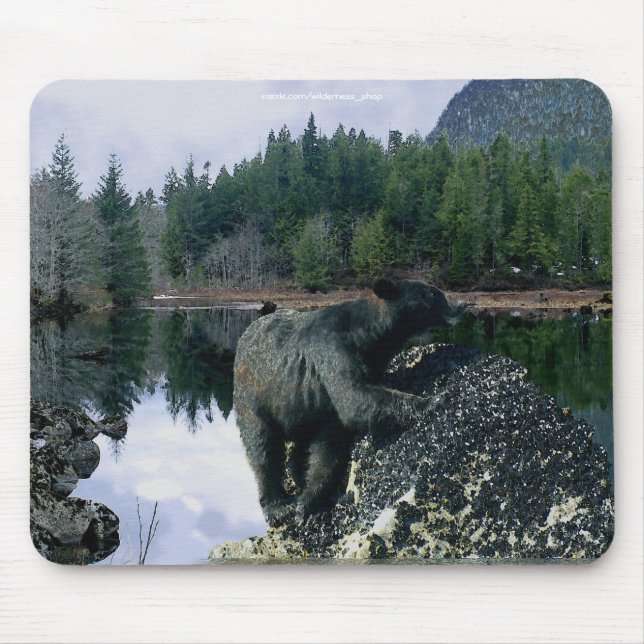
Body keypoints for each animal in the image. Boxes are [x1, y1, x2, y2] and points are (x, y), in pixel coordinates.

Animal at [233, 278, 462, 526]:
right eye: (431, 292)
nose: (460, 303)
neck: (367, 336)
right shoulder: (332, 351)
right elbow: (354, 399)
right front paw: (433, 400)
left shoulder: (327, 407)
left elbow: (329, 447)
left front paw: (310, 503)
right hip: (252, 397)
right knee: (262, 448)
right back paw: (276, 506)